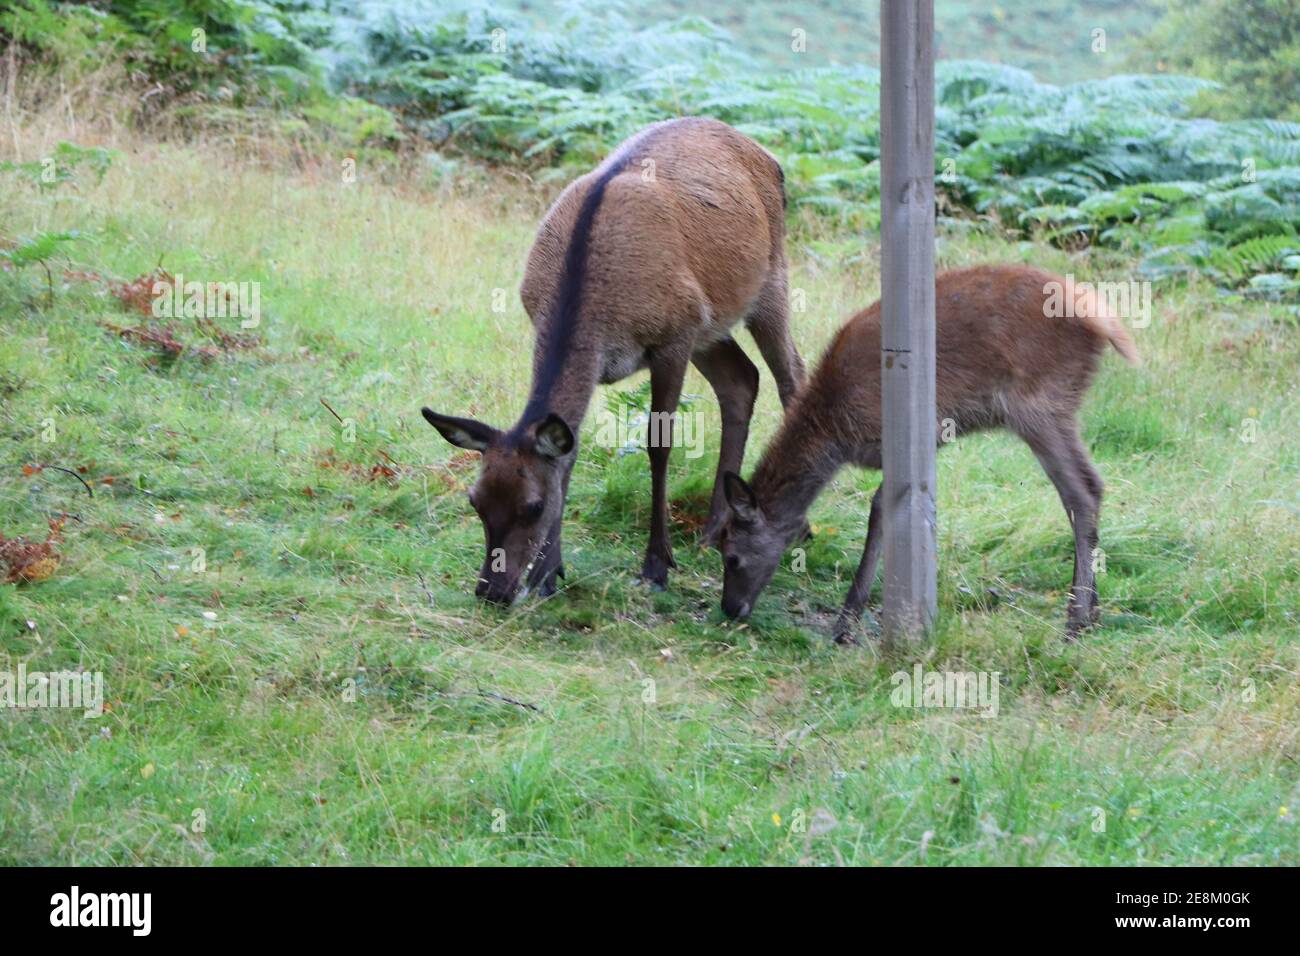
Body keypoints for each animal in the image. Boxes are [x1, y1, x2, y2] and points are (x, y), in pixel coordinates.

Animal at [422, 117, 806, 605]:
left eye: (534, 506)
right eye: (476, 500)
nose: (492, 590)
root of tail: (770, 158)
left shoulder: (674, 336)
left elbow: (659, 445)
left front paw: (656, 566)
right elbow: (569, 451)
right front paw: (548, 574)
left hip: (769, 283)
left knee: (791, 374)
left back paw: (799, 528)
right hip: (712, 325)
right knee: (741, 379)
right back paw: (712, 533)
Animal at [717, 264, 1141, 642]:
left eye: (731, 556)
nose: (730, 609)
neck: (835, 433)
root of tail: (1102, 320)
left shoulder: (906, 434)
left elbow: (881, 507)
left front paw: (846, 621)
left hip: (1039, 405)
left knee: (1082, 490)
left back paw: (1075, 620)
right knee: (1088, 488)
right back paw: (1092, 612)